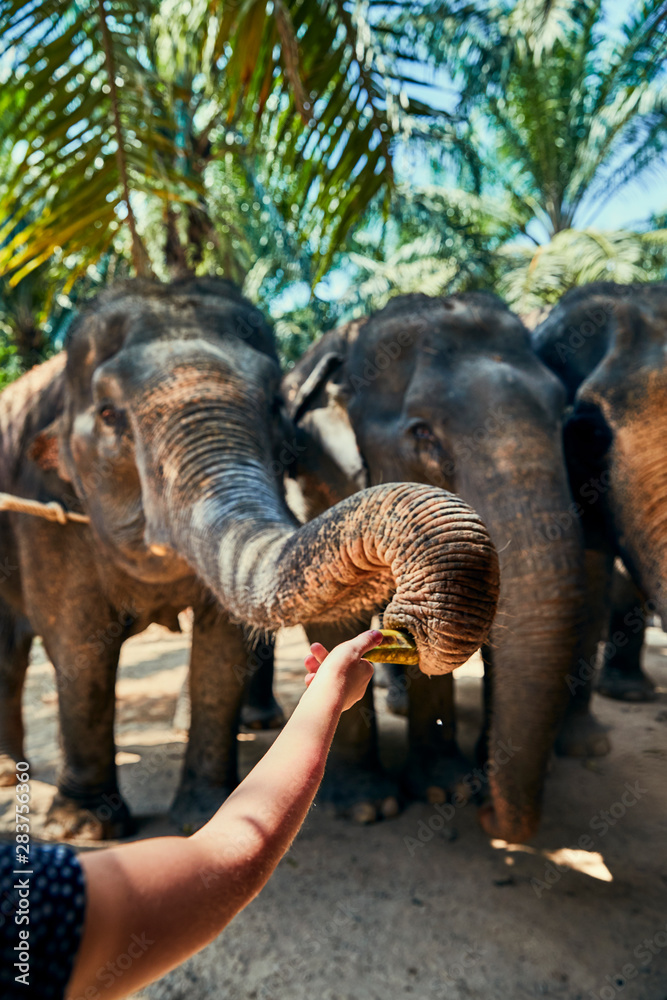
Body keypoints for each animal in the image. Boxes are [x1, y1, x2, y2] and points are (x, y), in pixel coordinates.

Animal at [0, 278, 500, 840]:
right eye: (109, 415)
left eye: (275, 410)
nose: (403, 625)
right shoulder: (44, 510)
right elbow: (79, 644)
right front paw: (83, 829)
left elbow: (223, 645)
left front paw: (204, 815)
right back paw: (11, 775)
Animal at [284, 292, 588, 844]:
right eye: (422, 433)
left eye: (563, 416)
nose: (490, 814)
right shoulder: (314, 477)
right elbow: (330, 610)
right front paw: (369, 807)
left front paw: (447, 790)